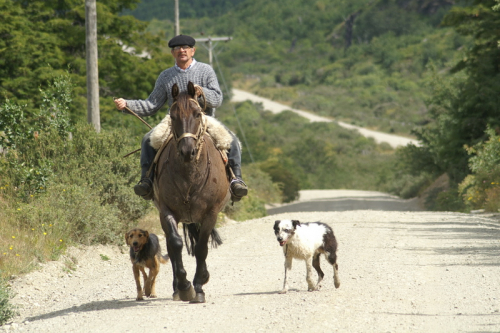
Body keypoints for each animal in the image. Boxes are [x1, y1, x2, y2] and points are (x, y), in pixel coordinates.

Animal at [153, 81, 229, 304]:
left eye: (197, 114)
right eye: (172, 116)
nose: (188, 151)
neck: (189, 173)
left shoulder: (210, 213)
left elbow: (201, 248)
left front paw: (199, 286)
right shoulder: (166, 210)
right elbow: (176, 244)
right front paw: (185, 286)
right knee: (171, 247)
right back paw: (177, 289)